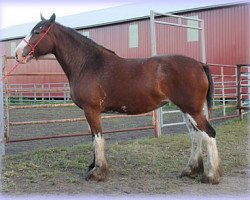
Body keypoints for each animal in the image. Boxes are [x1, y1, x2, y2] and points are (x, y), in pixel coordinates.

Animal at [15, 13, 223, 184]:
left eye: (37, 31)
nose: (17, 54)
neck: (88, 64)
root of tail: (200, 64)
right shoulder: (91, 112)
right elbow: (93, 138)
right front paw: (93, 166)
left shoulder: (92, 110)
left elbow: (97, 139)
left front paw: (97, 172)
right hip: (185, 109)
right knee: (196, 136)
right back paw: (190, 170)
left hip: (192, 109)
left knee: (209, 134)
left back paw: (211, 176)